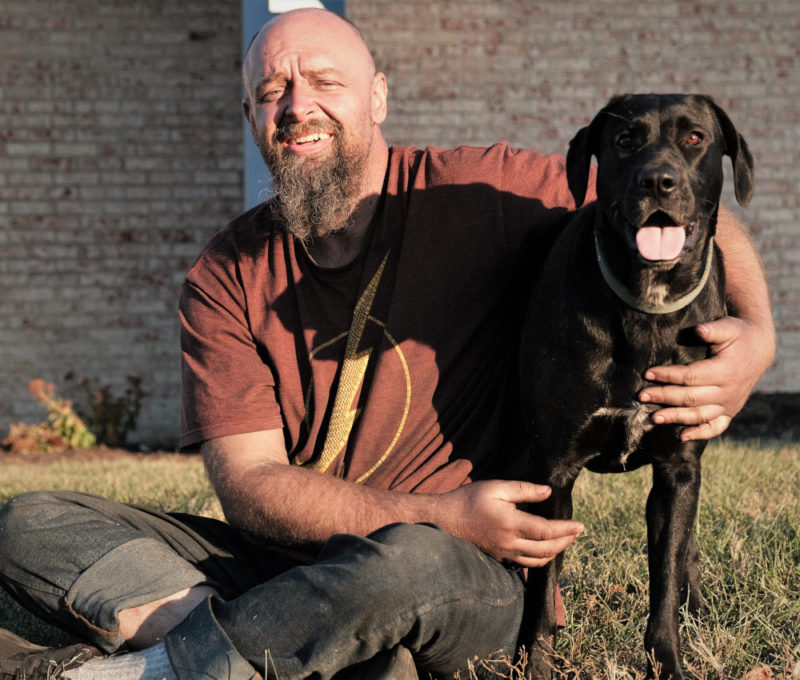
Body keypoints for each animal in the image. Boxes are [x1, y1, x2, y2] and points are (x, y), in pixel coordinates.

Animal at [520, 91, 756, 680]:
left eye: (695, 137)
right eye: (625, 140)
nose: (659, 181)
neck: (647, 308)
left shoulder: (677, 470)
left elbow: (665, 580)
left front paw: (668, 662)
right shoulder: (552, 473)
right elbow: (541, 590)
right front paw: (535, 665)